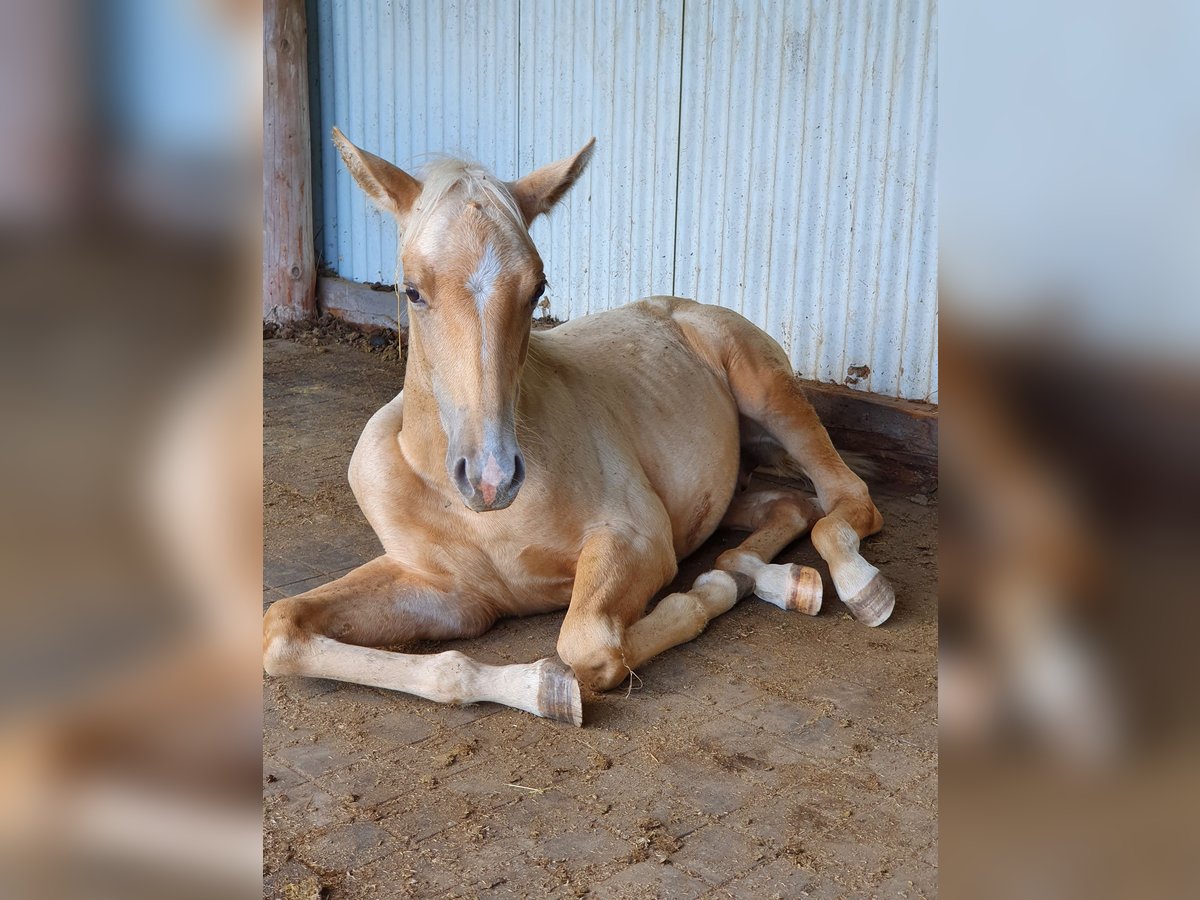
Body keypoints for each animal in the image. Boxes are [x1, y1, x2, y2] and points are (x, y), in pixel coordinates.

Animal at [265, 132, 902, 724]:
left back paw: (857, 588)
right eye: (412, 290)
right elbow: (283, 628)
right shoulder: (445, 593)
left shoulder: (638, 537)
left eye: (538, 288)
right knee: (789, 507)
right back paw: (775, 578)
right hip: (717, 499)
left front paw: (566, 679)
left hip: (771, 395)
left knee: (845, 501)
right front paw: (535, 688)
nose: (491, 478)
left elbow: (588, 644)